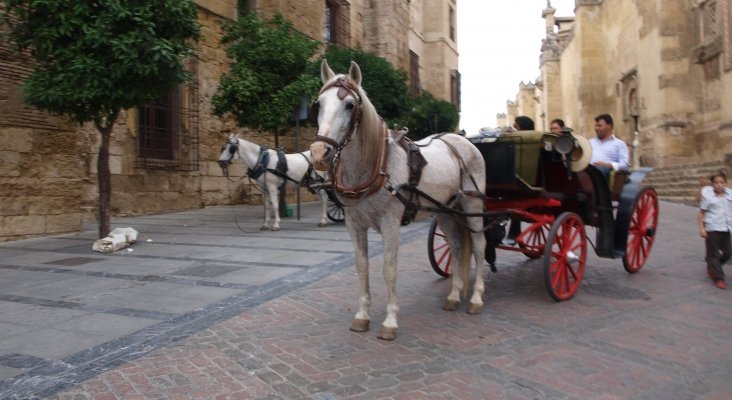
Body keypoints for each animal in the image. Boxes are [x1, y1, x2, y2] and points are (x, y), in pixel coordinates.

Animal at [308, 60, 486, 340]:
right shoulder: (354, 224)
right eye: (319, 104)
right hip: (446, 211)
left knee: (479, 247)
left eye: (350, 105)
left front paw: (390, 321)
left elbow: (389, 269)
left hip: (473, 206)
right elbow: (362, 267)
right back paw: (455, 295)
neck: (377, 164)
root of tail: (461, 140)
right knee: (458, 247)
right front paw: (362, 316)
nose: (319, 153)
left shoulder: (390, 223)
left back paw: (476, 297)